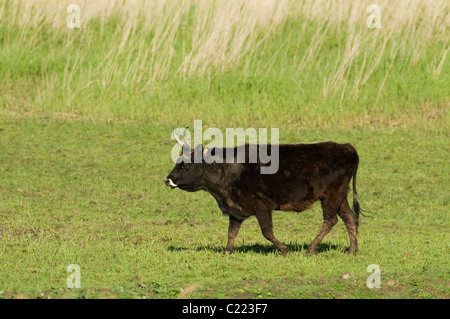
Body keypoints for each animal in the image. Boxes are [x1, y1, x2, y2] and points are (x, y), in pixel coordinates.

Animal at [163, 129, 360, 256]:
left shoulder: (262, 205)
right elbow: (231, 232)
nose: (168, 180)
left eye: (186, 164)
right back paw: (352, 250)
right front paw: (226, 252)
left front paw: (285, 250)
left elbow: (267, 231)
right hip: (340, 195)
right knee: (349, 218)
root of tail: (347, 148)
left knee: (330, 220)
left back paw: (311, 249)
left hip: (330, 195)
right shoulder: (235, 208)